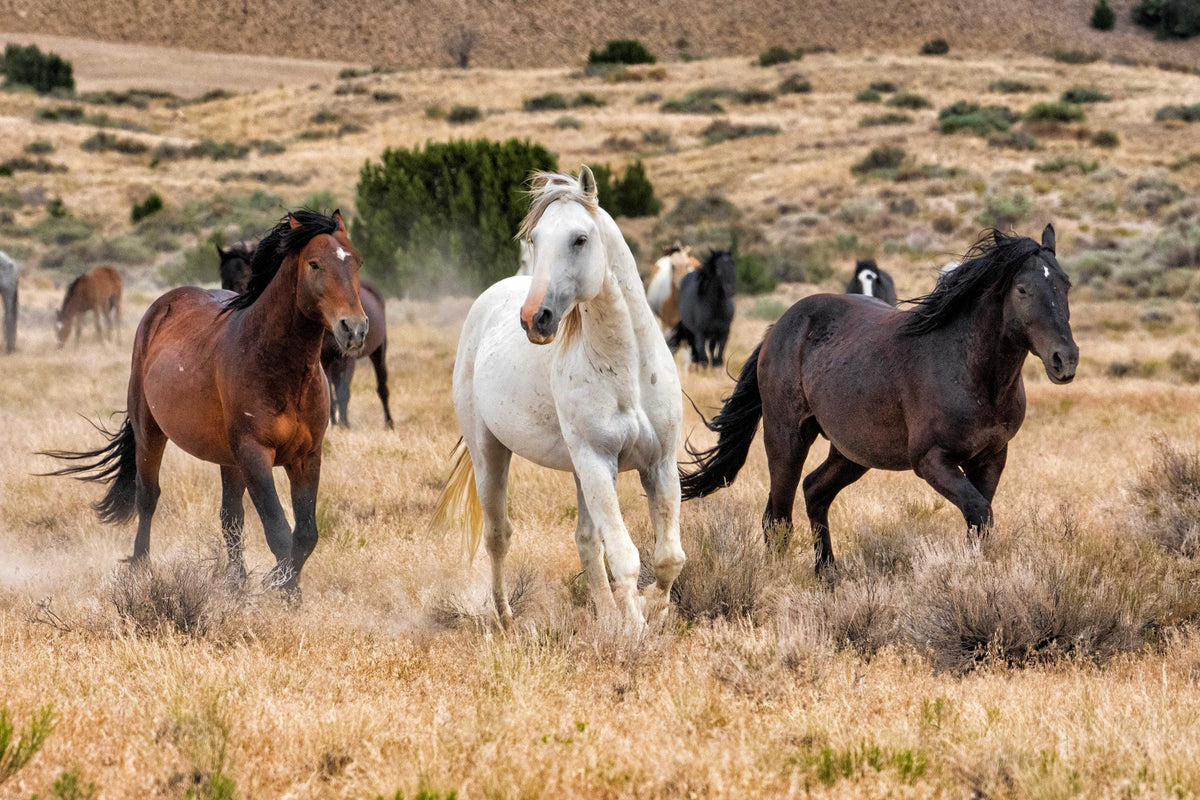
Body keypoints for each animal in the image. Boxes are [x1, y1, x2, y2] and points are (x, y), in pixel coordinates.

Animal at [42, 210, 367, 597]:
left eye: (357, 262)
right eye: (314, 263)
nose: (354, 329)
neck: (277, 365)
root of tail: (162, 307)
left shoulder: (306, 457)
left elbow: (305, 535)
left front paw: (281, 587)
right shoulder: (255, 454)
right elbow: (278, 531)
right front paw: (284, 592)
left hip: (229, 460)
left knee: (231, 516)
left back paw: (235, 580)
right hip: (151, 432)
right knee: (147, 497)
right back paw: (141, 567)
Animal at [321, 280, 393, 428]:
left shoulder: (349, 358)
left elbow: (343, 391)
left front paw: (344, 424)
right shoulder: (324, 359)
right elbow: (329, 392)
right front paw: (333, 423)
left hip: (379, 352)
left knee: (382, 388)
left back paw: (389, 422)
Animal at [432, 167, 685, 628]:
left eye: (580, 239)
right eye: (535, 239)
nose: (535, 319)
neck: (628, 373)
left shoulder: (659, 464)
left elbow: (668, 557)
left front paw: (652, 608)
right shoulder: (598, 461)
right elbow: (625, 557)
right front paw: (636, 627)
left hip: (580, 472)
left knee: (585, 541)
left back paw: (605, 617)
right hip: (490, 453)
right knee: (498, 535)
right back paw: (504, 616)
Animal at [679, 226, 1078, 575]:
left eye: (1065, 283)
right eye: (1022, 289)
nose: (1065, 359)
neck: (967, 366)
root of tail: (779, 326)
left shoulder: (992, 457)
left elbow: (981, 518)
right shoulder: (931, 460)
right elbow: (979, 513)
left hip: (851, 451)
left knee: (813, 492)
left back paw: (828, 575)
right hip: (787, 437)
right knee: (777, 517)